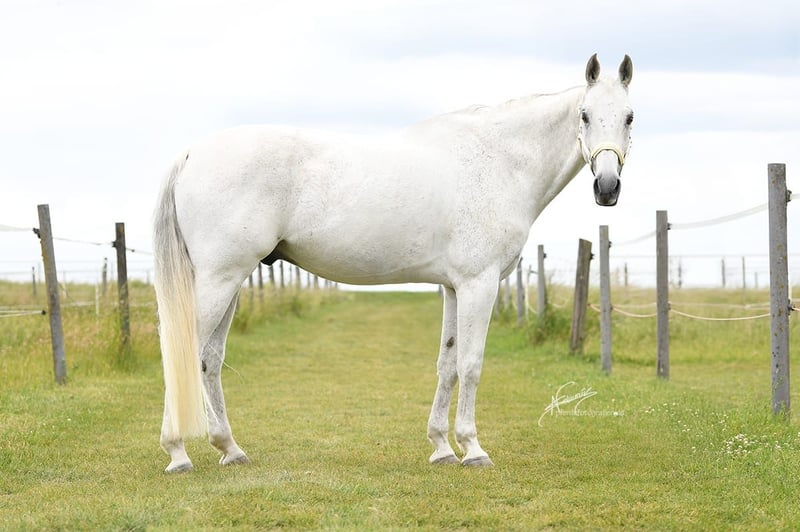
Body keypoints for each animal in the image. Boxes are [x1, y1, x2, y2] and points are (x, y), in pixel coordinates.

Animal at [153, 54, 634, 472]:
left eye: (629, 116)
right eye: (585, 115)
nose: (607, 187)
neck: (498, 163)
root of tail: (192, 153)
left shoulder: (453, 287)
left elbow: (447, 364)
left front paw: (442, 447)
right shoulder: (479, 284)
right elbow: (471, 364)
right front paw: (473, 449)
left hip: (229, 281)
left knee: (209, 360)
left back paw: (230, 448)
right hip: (219, 279)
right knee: (183, 353)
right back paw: (177, 452)